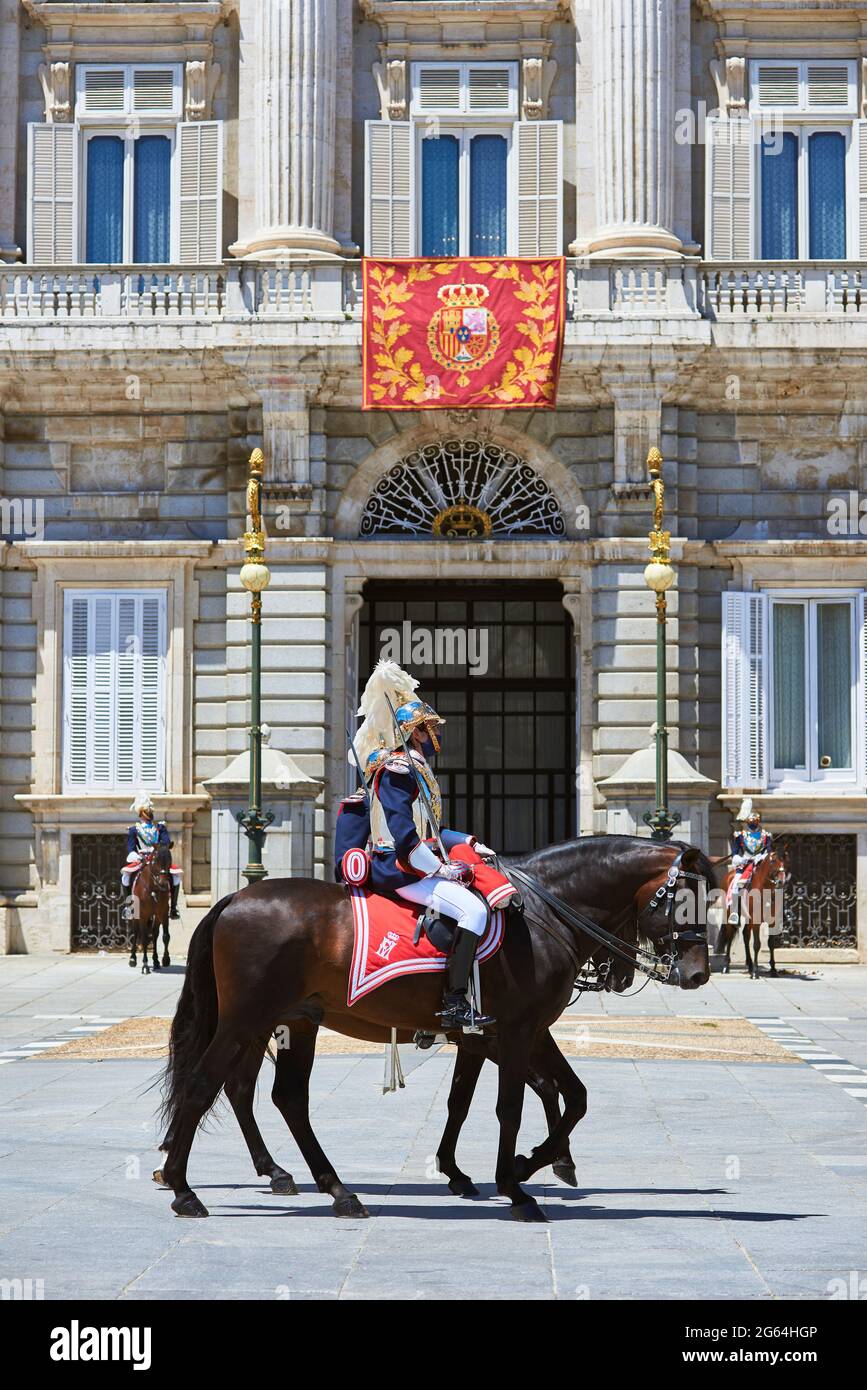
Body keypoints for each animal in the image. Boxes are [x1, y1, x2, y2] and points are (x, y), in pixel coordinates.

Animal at [130, 839, 172, 973]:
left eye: (170, 859)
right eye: (154, 859)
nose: (163, 883)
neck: (153, 888)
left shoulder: (163, 912)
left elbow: (165, 936)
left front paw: (165, 959)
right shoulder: (143, 914)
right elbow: (143, 938)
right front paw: (145, 964)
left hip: (156, 916)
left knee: (154, 934)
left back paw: (156, 960)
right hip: (136, 915)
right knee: (135, 932)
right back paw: (132, 959)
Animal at [157, 828, 711, 1223]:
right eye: (684, 900)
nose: (698, 973)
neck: (540, 913)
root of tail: (234, 898)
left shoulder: (513, 1031)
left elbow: (553, 1096)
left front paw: (513, 1166)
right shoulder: (515, 1032)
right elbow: (513, 1105)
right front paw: (516, 1184)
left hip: (295, 1021)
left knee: (284, 1097)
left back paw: (334, 1190)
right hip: (245, 1021)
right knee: (206, 1084)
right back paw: (184, 1189)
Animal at [716, 845, 789, 978]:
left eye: (786, 860)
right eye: (773, 861)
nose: (782, 882)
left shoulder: (772, 921)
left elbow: (771, 944)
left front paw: (773, 970)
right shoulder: (756, 921)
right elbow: (757, 944)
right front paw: (755, 972)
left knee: (745, 935)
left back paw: (749, 965)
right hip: (729, 914)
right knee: (730, 936)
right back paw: (726, 966)